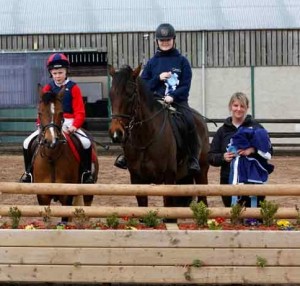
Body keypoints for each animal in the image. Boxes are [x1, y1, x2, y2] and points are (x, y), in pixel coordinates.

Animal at [32, 85, 99, 221]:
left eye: (61, 113)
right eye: (40, 113)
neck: (52, 157)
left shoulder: (66, 195)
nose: (51, 141)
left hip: (89, 187)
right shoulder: (42, 196)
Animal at [109, 63, 210, 209]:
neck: (145, 139)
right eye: (111, 95)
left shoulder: (168, 178)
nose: (116, 133)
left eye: (130, 94)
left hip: (201, 172)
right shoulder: (137, 179)